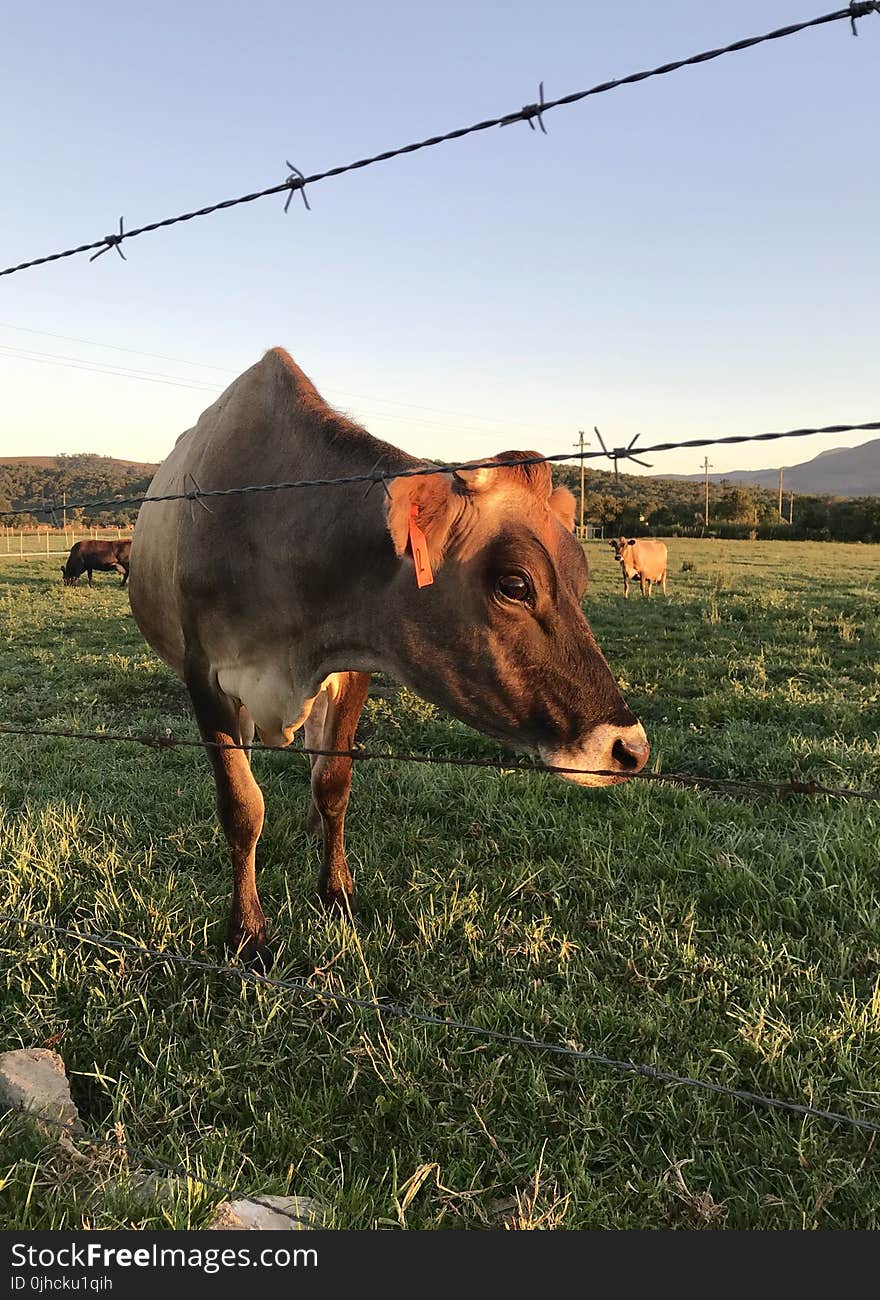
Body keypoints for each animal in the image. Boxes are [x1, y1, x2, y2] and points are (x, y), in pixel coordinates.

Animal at [131, 351, 652, 961]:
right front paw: (247, 932)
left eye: (583, 577)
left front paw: (335, 891)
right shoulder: (204, 676)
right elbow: (241, 806)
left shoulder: (351, 664)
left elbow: (334, 782)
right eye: (514, 584)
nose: (630, 749)